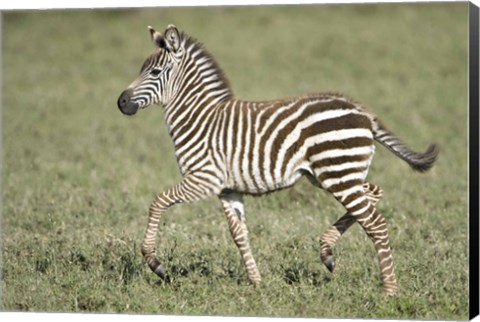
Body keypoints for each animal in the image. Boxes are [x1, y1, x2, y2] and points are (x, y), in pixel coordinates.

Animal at [116, 25, 438, 296]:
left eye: (156, 72)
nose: (121, 102)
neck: (199, 118)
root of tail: (363, 112)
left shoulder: (203, 179)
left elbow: (157, 201)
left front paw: (154, 262)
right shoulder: (227, 189)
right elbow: (239, 235)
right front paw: (255, 282)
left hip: (337, 172)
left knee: (375, 223)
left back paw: (389, 290)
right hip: (333, 174)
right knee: (373, 195)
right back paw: (327, 251)